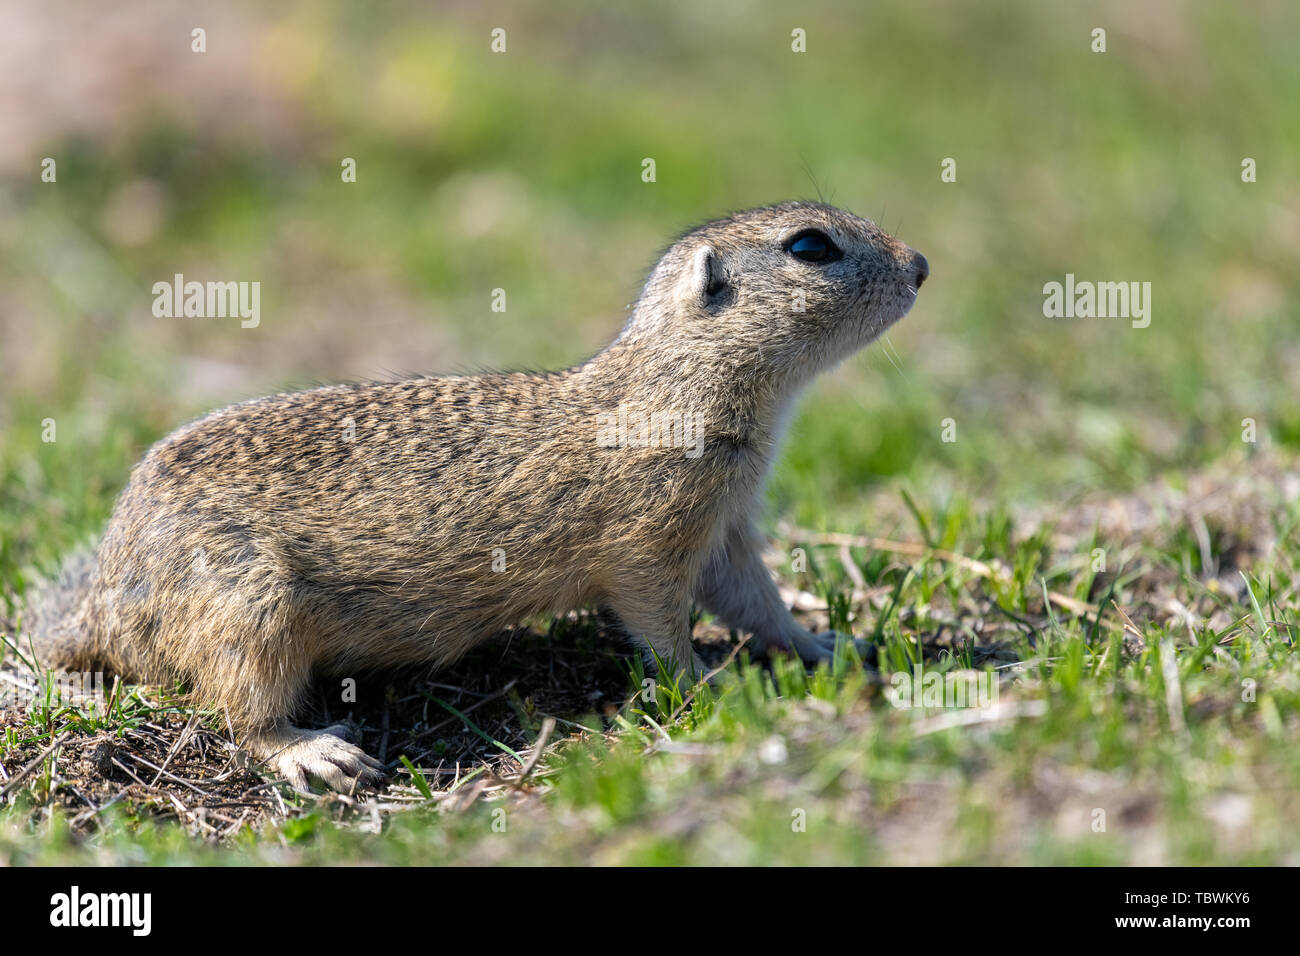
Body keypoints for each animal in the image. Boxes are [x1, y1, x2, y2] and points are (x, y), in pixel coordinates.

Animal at [25, 200, 930, 790]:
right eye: (811, 247)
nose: (922, 264)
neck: (678, 383)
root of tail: (101, 604)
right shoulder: (650, 540)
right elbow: (659, 623)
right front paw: (711, 684)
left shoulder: (726, 530)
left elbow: (756, 601)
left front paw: (827, 645)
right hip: (247, 608)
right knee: (239, 713)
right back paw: (313, 751)